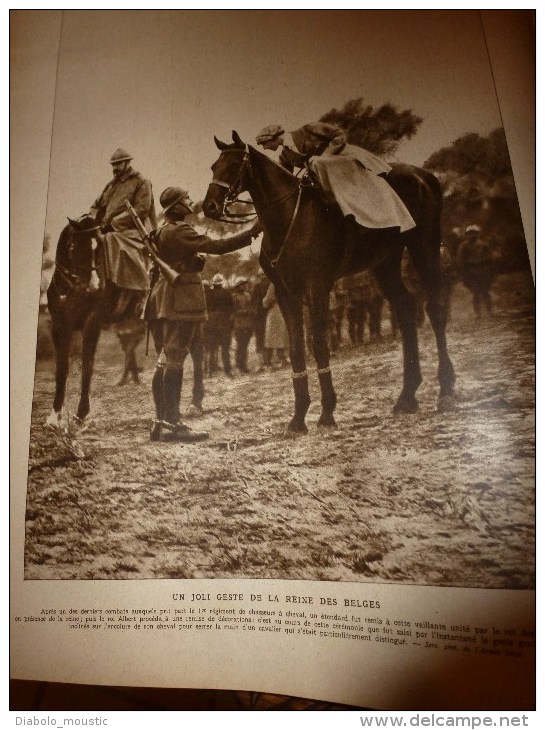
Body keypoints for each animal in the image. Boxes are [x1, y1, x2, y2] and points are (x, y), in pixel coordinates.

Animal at [46, 218, 143, 432]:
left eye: (99, 246)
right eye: (75, 246)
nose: (94, 286)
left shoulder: (92, 324)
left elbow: (87, 367)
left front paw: (81, 414)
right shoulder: (59, 326)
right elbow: (61, 368)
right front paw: (55, 416)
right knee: (130, 349)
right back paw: (129, 379)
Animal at [202, 132, 452, 432]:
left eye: (233, 165)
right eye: (214, 166)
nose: (209, 206)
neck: (289, 218)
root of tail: (425, 176)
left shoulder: (317, 287)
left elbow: (319, 346)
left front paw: (327, 412)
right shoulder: (286, 294)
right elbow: (297, 349)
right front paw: (298, 417)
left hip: (424, 245)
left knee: (435, 308)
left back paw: (446, 389)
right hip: (385, 262)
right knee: (405, 308)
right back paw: (407, 396)